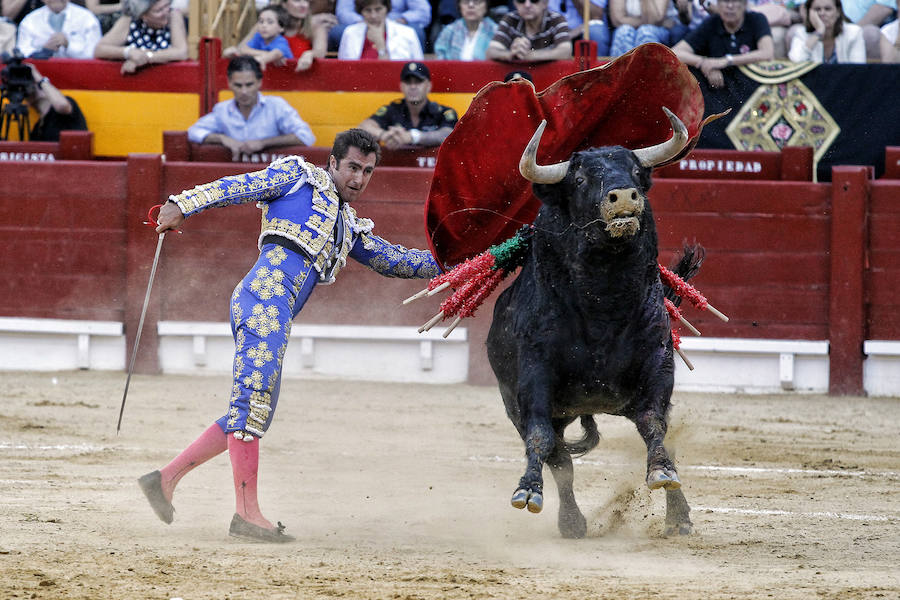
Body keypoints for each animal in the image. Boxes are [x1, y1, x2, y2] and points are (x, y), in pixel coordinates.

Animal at [486, 109, 696, 540]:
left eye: (635, 172)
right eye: (581, 179)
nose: (624, 196)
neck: (604, 301)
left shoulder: (657, 363)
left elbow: (654, 425)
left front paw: (662, 473)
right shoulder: (534, 372)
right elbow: (540, 437)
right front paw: (527, 491)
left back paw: (679, 517)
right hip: (521, 405)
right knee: (559, 460)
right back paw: (571, 522)